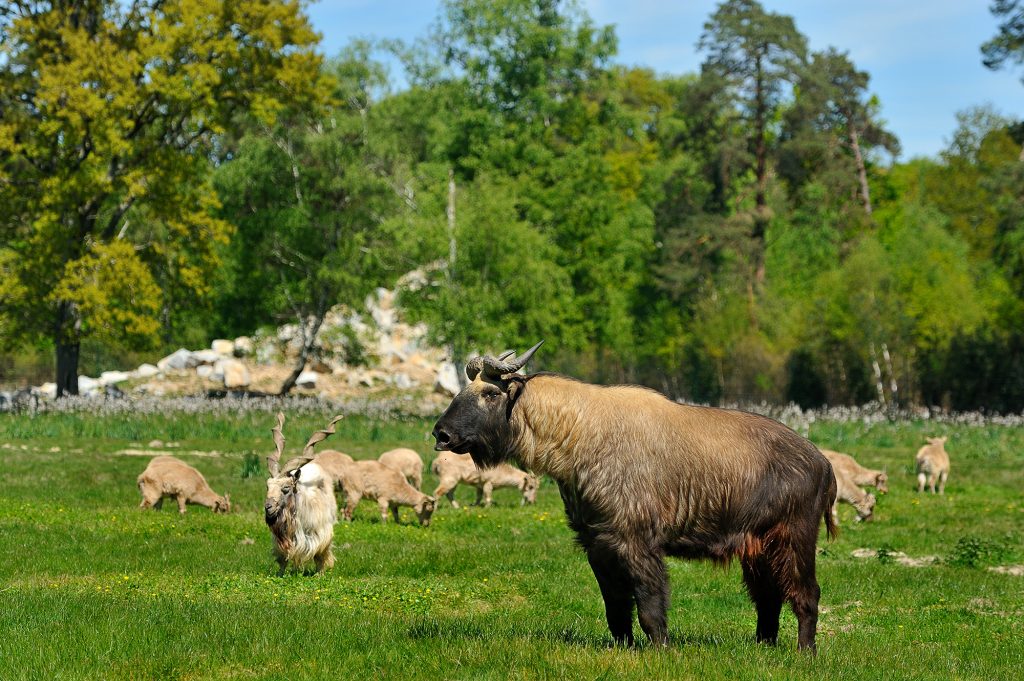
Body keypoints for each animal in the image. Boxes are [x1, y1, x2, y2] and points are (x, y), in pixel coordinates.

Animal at [264, 413, 339, 573]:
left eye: (286, 488)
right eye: (267, 486)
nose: (268, 507)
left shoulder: (320, 536)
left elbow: (319, 558)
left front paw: (320, 575)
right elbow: (283, 560)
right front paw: (280, 575)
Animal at [428, 342, 835, 651]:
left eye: (490, 393)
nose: (441, 434)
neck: (583, 436)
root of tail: (823, 463)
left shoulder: (638, 544)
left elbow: (650, 607)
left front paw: (662, 650)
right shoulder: (598, 545)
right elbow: (617, 610)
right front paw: (625, 648)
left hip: (794, 540)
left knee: (806, 596)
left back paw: (805, 653)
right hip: (759, 549)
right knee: (768, 599)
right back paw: (763, 647)